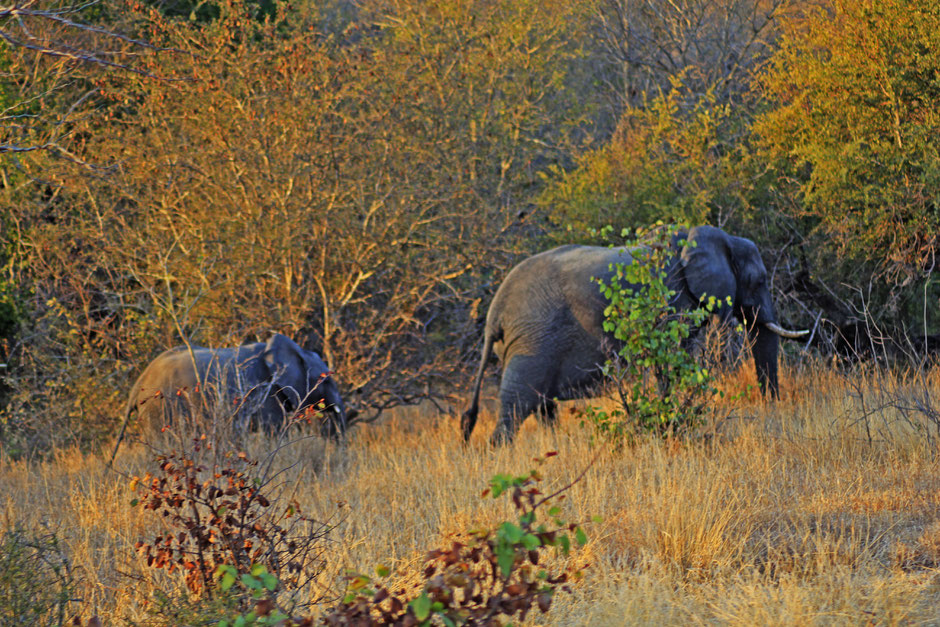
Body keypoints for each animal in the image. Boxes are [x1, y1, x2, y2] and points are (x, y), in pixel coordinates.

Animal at [462, 223, 808, 444]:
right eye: (759, 281)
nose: (773, 412)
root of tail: (494, 312)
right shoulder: (672, 296)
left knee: (543, 408)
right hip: (532, 341)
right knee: (517, 407)